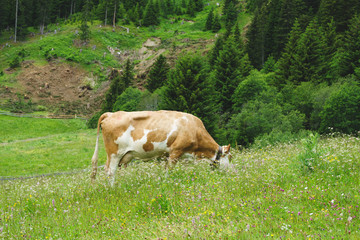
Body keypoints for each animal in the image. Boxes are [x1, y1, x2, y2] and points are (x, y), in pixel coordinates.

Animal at [90, 110, 231, 186]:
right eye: (230, 157)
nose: (233, 172)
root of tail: (111, 114)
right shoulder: (175, 152)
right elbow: (169, 171)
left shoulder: (172, 156)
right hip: (114, 153)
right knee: (110, 171)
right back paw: (112, 188)